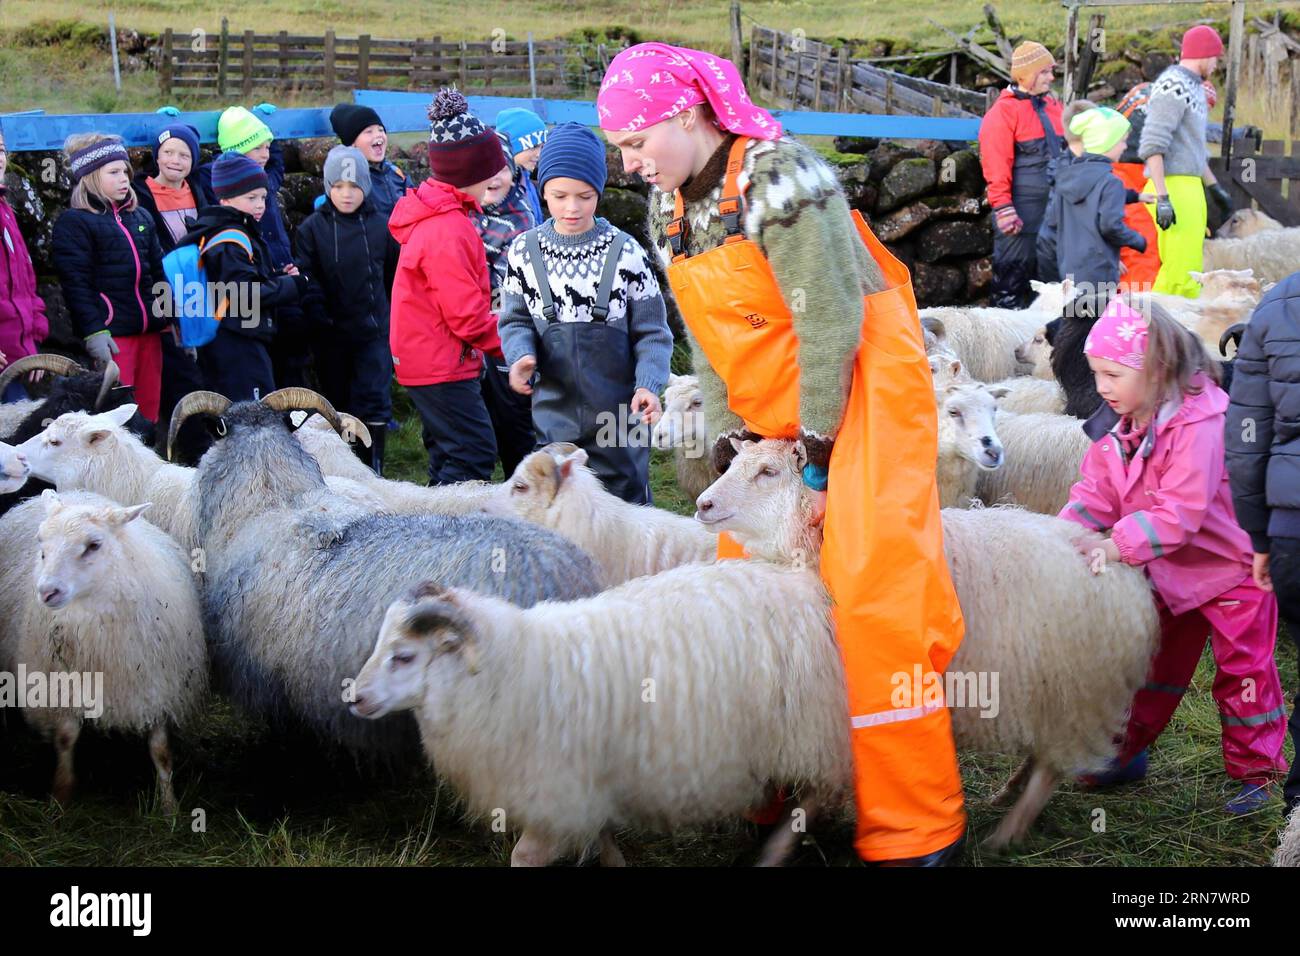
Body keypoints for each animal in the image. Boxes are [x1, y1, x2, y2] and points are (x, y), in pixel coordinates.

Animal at [0, 489, 206, 811]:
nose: (47, 592)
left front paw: (169, 807)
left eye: (94, 545)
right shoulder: (62, 687)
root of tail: (73, 494)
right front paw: (61, 798)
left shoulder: (158, 685)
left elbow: (160, 749)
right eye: (41, 544)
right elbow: (66, 738)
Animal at [348, 564, 852, 868]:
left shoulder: (556, 795)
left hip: (808, 730)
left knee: (818, 794)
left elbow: (524, 857)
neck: (508, 669)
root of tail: (802, 587)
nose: (353, 698)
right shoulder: (589, 790)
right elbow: (604, 840)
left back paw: (774, 852)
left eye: (404, 656)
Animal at [707, 442, 1164, 853]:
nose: (704, 504)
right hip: (1052, 694)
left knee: (1051, 769)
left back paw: (1007, 832)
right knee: (1044, 754)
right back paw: (1007, 792)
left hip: (1079, 690)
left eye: (768, 471)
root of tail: (1131, 581)